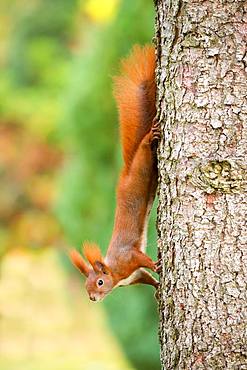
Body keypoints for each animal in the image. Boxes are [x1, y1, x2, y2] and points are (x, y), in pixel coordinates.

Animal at [69, 44, 160, 302]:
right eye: (86, 286)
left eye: (100, 282)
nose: (92, 298)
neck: (116, 273)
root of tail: (126, 173)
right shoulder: (135, 275)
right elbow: (146, 278)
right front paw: (158, 289)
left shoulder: (129, 258)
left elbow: (143, 260)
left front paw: (157, 265)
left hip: (142, 165)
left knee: (144, 148)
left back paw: (150, 135)